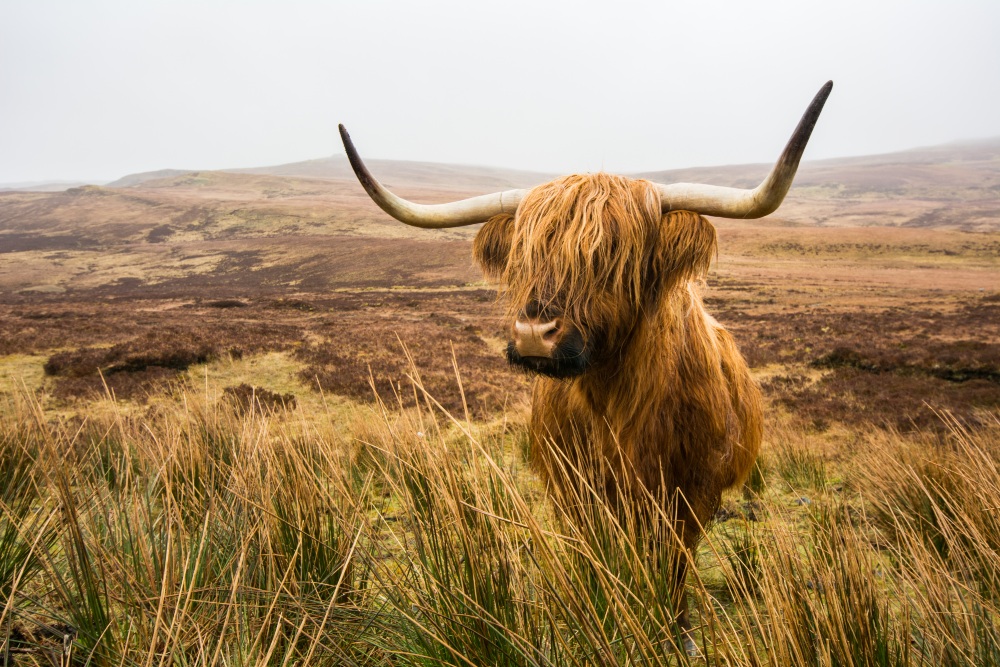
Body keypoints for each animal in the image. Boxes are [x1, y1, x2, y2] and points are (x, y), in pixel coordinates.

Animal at [339, 81, 832, 654]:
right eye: (525, 254)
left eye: (611, 254)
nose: (534, 334)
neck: (614, 405)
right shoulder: (574, 486)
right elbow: (594, 558)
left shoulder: (690, 491)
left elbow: (673, 565)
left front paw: (674, 632)